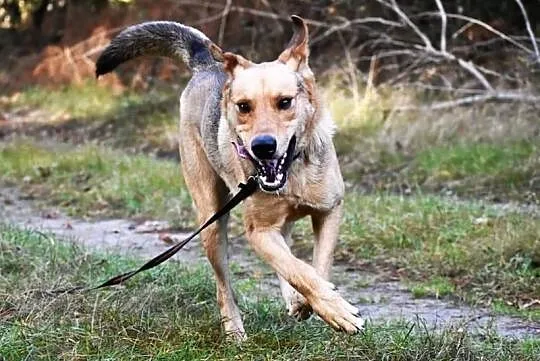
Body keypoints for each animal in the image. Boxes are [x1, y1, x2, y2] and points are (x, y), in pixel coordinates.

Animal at [95, 14, 364, 340]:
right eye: (244, 106)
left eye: (285, 102)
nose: (263, 146)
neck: (292, 176)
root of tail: (207, 63)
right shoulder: (258, 232)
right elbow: (298, 269)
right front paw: (335, 309)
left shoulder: (330, 210)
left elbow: (316, 265)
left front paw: (317, 303)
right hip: (211, 220)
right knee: (224, 285)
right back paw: (235, 331)